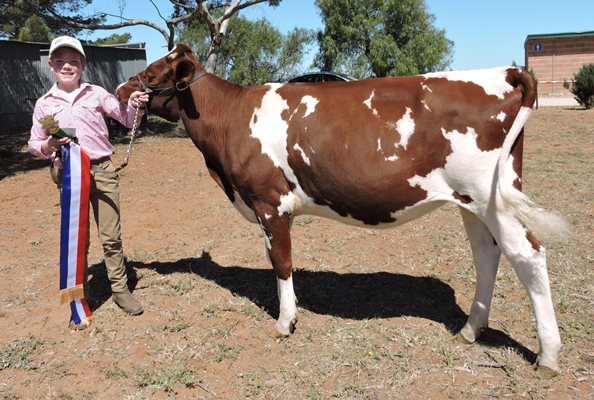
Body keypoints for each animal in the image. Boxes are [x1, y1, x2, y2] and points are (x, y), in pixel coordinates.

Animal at [118, 43, 568, 376]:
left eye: (154, 73)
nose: (122, 92)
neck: (232, 121)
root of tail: (502, 72)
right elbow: (273, 259)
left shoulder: (270, 203)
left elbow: (282, 261)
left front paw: (285, 322)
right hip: (473, 202)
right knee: (487, 254)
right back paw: (471, 330)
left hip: (492, 198)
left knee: (528, 254)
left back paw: (547, 356)